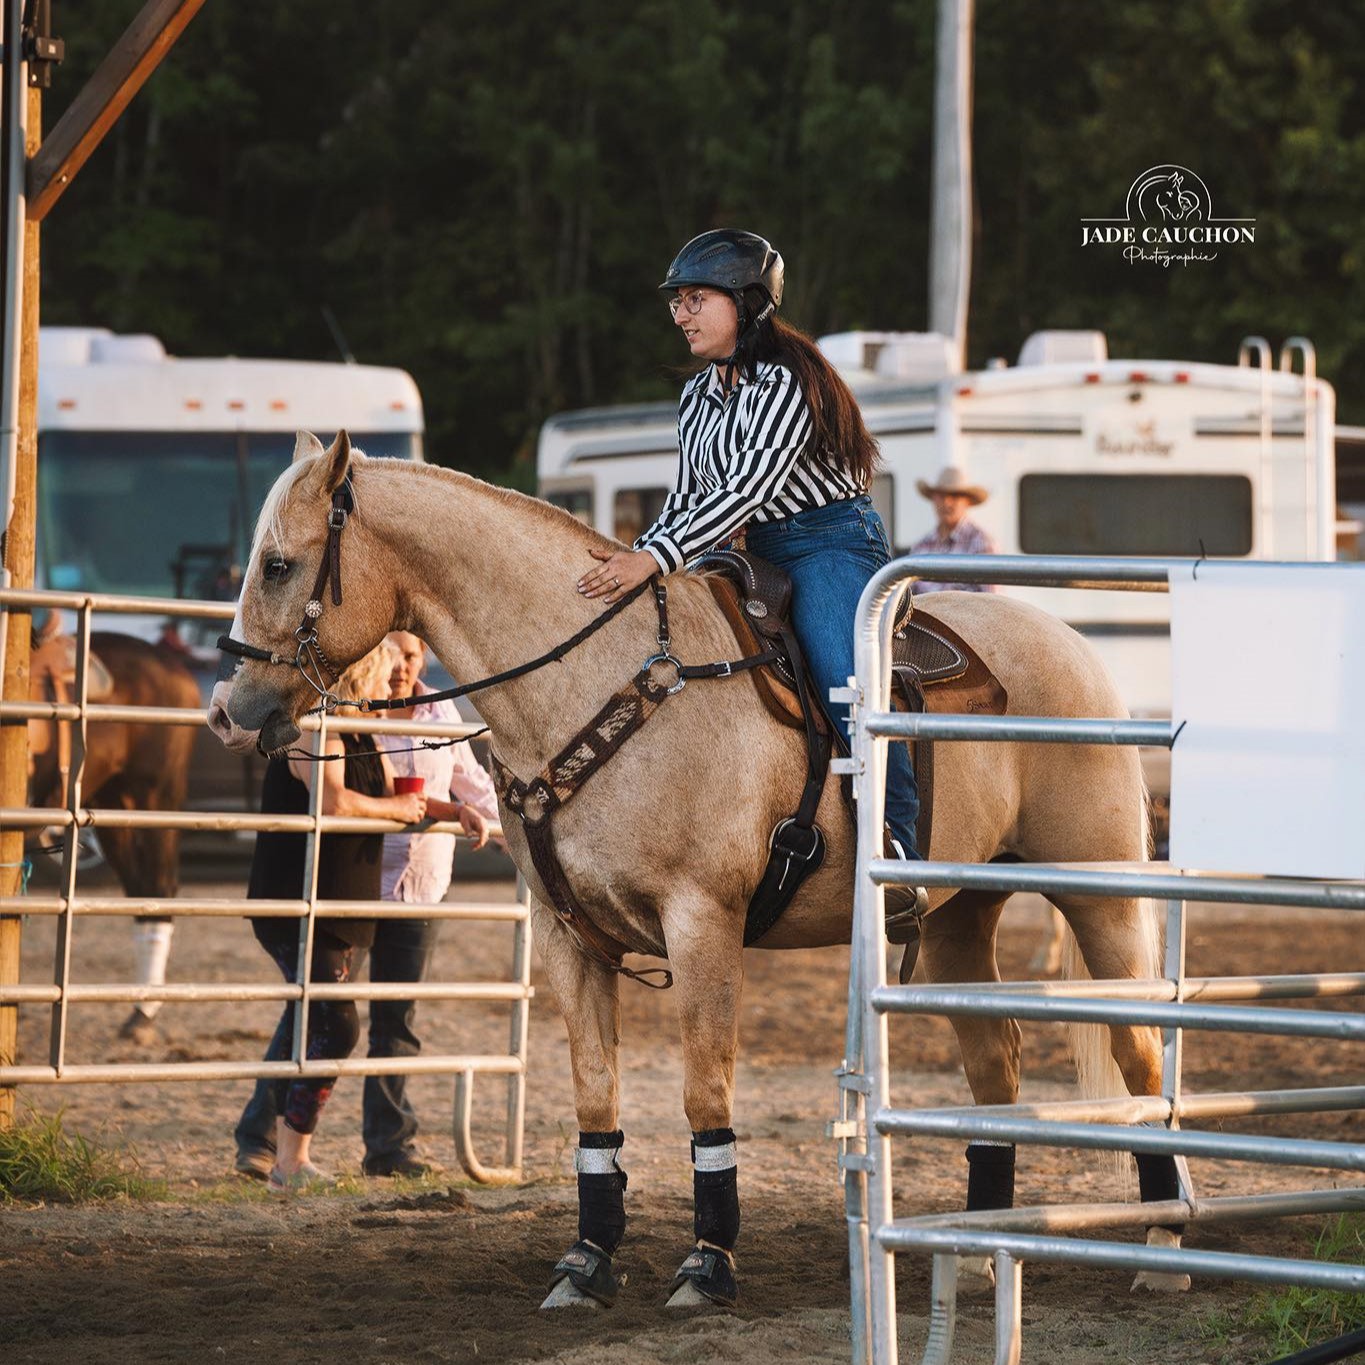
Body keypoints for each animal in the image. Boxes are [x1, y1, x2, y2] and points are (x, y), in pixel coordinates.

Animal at [209, 431, 1186, 1308]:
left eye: (279, 564)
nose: (227, 708)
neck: (602, 679)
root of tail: (1069, 643)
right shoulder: (570, 939)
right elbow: (594, 1100)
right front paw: (585, 1261)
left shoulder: (702, 922)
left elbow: (702, 1091)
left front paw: (707, 1263)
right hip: (954, 918)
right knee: (996, 1064)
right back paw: (983, 1253)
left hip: (1101, 896)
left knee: (1140, 1057)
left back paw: (1163, 1249)